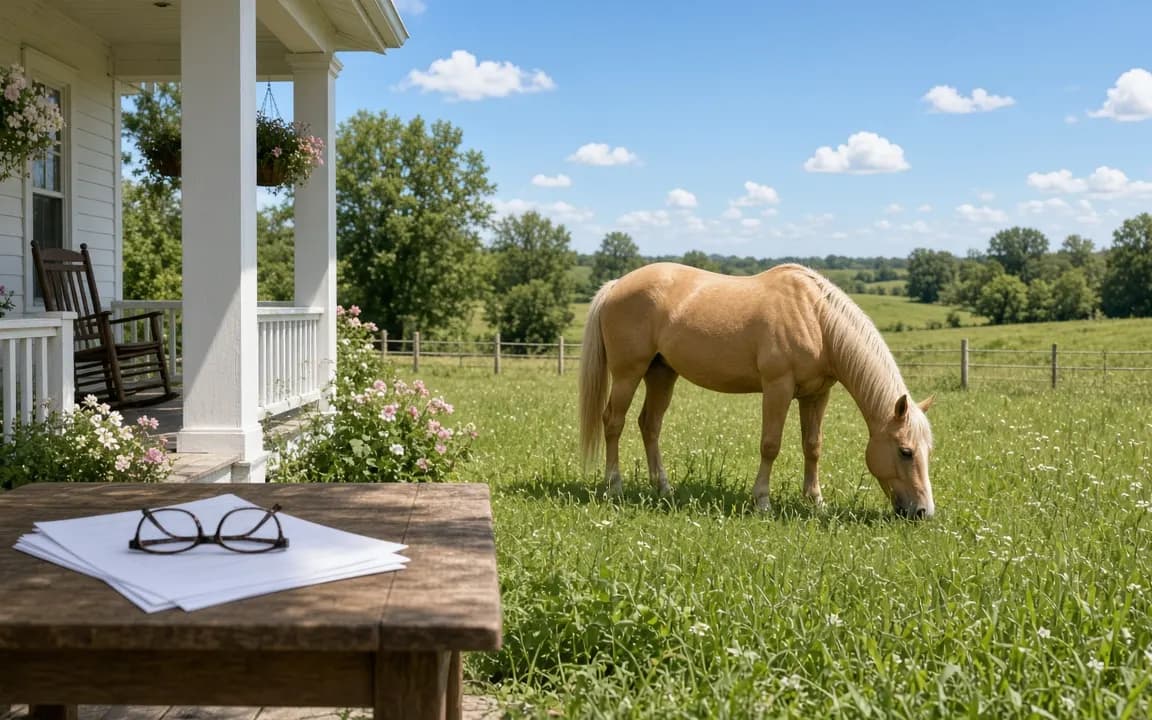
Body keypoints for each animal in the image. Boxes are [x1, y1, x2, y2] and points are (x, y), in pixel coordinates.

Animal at [578, 262, 935, 518]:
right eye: (906, 451)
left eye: (927, 451)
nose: (923, 512)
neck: (817, 319)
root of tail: (616, 285)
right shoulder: (778, 387)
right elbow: (770, 445)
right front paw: (762, 501)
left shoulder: (817, 394)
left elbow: (813, 446)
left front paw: (816, 501)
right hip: (628, 373)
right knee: (613, 422)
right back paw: (614, 485)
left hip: (661, 374)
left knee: (650, 425)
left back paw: (663, 487)